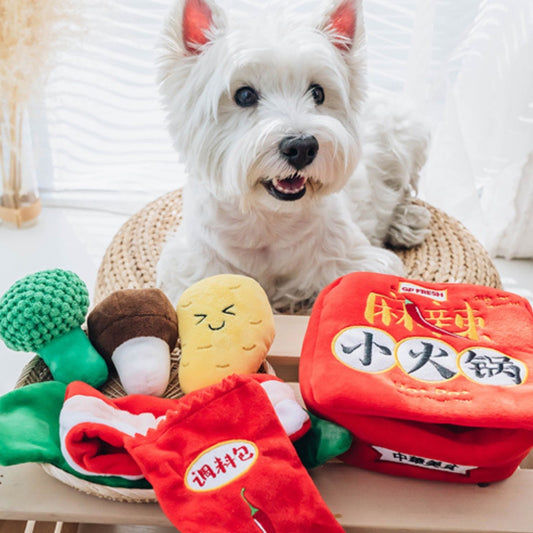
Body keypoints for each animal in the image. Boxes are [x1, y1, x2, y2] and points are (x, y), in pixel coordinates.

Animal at [156, 0, 430, 312]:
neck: (268, 222)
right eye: (245, 95)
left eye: (318, 93)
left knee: (404, 188)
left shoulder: (356, 259)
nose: (302, 147)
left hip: (405, 132)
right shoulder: (192, 269)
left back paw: (406, 222)